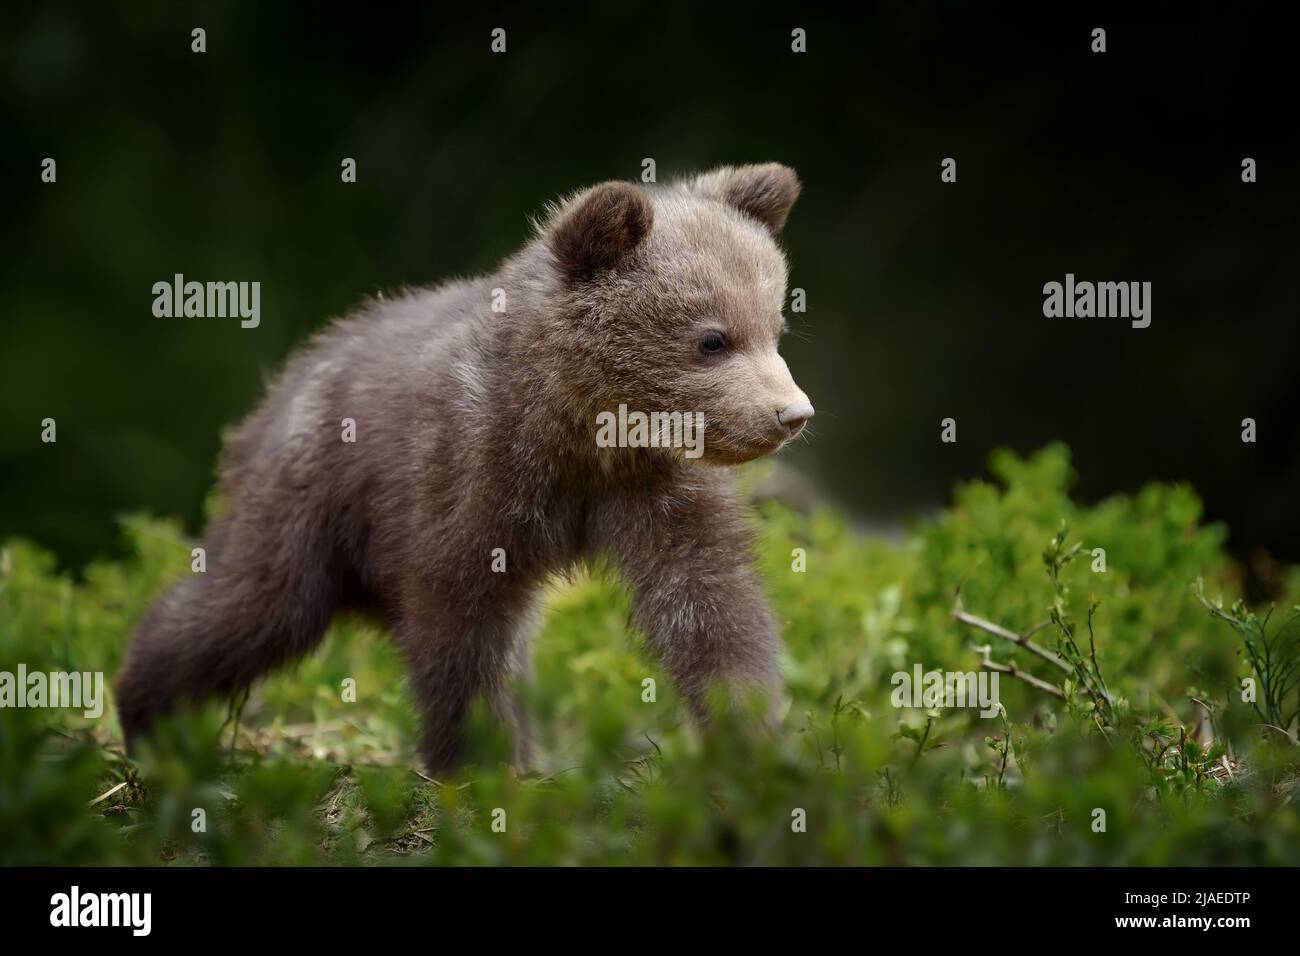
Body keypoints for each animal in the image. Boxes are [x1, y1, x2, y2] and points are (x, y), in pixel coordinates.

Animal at [115, 163, 814, 774]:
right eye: (712, 338)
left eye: (774, 326)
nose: (792, 413)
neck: (580, 434)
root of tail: (283, 384)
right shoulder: (469, 472)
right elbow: (460, 619)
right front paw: (478, 760)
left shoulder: (654, 485)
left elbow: (708, 603)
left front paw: (749, 733)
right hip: (308, 495)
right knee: (255, 604)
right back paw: (145, 712)